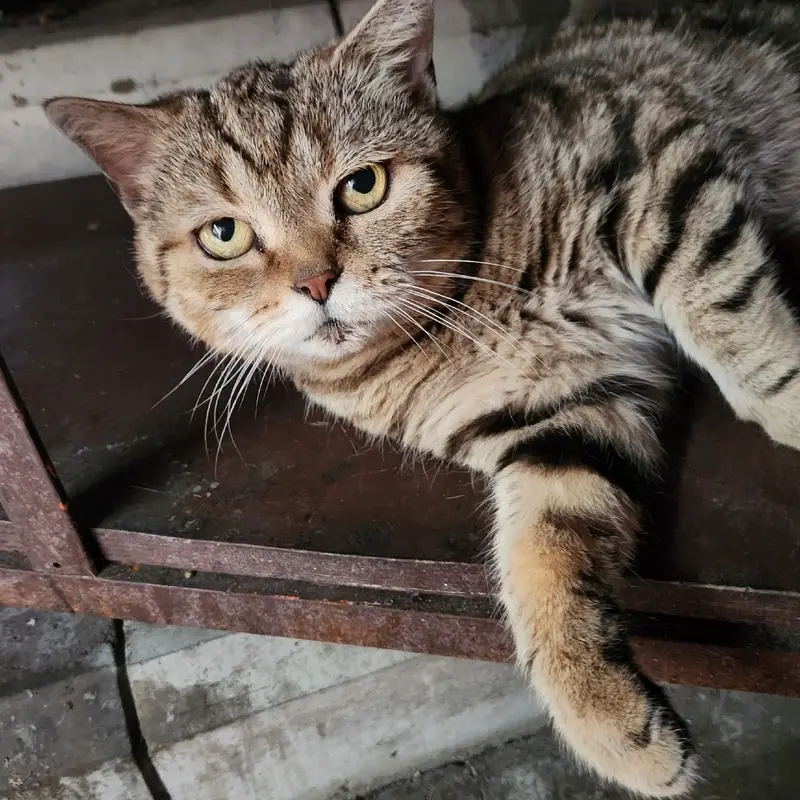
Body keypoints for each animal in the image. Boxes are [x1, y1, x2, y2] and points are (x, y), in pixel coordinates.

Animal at [45, 0, 800, 795]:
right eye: (224, 234)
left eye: (363, 186)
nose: (315, 282)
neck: (464, 309)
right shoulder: (561, 414)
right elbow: (541, 553)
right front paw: (606, 718)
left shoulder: (646, 163)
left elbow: (729, 314)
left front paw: (790, 401)